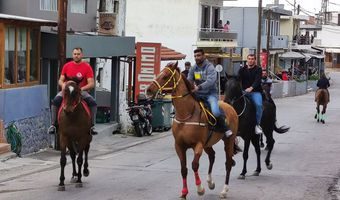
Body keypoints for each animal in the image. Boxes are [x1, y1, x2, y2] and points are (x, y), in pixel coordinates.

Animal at [147, 62, 239, 198]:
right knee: (212, 156)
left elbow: (194, 165)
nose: (148, 90)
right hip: (208, 144)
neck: (186, 114)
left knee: (228, 163)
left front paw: (200, 189)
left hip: (228, 140)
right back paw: (210, 182)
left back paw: (224, 190)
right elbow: (183, 169)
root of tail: (230, 107)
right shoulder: (179, 145)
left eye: (165, 76)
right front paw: (184, 193)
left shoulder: (198, 144)